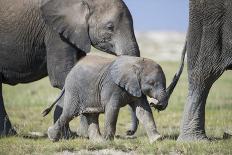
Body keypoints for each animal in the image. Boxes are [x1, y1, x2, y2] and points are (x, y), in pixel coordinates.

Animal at [0, 0, 140, 136]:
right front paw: (74, 136)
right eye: (110, 27)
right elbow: (62, 77)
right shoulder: (55, 32)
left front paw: (79, 135)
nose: (128, 132)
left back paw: (9, 134)